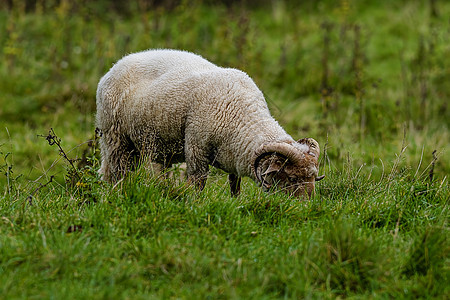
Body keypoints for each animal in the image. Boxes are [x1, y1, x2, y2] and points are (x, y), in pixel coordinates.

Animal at [96, 49, 326, 197]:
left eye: (314, 178)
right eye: (291, 178)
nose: (304, 208)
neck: (241, 115)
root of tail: (115, 66)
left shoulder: (234, 155)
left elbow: (235, 184)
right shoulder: (196, 148)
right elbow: (198, 183)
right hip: (116, 140)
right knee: (115, 174)